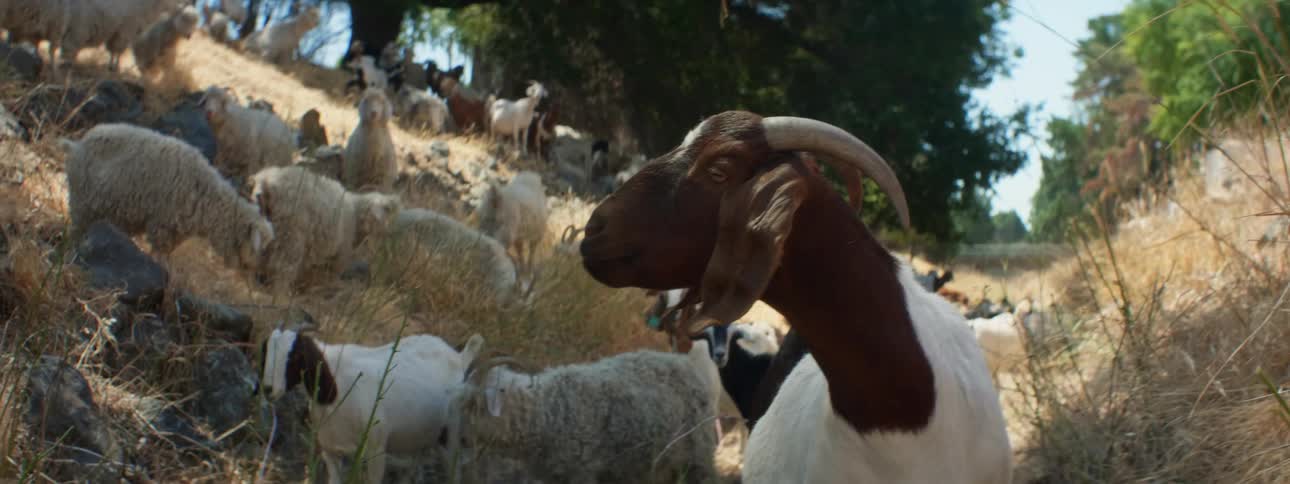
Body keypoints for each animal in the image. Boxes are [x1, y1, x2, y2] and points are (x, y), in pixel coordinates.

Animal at [60, 123, 274, 271]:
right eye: (259, 247)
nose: (257, 271)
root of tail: (77, 144)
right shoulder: (161, 226)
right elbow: (160, 256)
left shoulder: (176, 232)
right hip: (81, 202)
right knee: (75, 231)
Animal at [249, 165, 401, 294]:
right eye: (379, 215)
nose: (388, 234)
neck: (355, 214)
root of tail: (267, 182)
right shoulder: (338, 254)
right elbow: (328, 274)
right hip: (291, 232)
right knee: (281, 265)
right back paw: (280, 294)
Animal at [260, 328, 486, 484]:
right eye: (266, 352)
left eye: (295, 357)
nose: (267, 389)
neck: (337, 388)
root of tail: (460, 357)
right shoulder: (330, 449)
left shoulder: (375, 449)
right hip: (417, 437)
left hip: (450, 432)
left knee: (454, 471)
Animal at [449, 351, 718, 484]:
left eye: (473, 405)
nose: (455, 438)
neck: (546, 412)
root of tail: (686, 365)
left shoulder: (583, 472)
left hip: (698, 457)